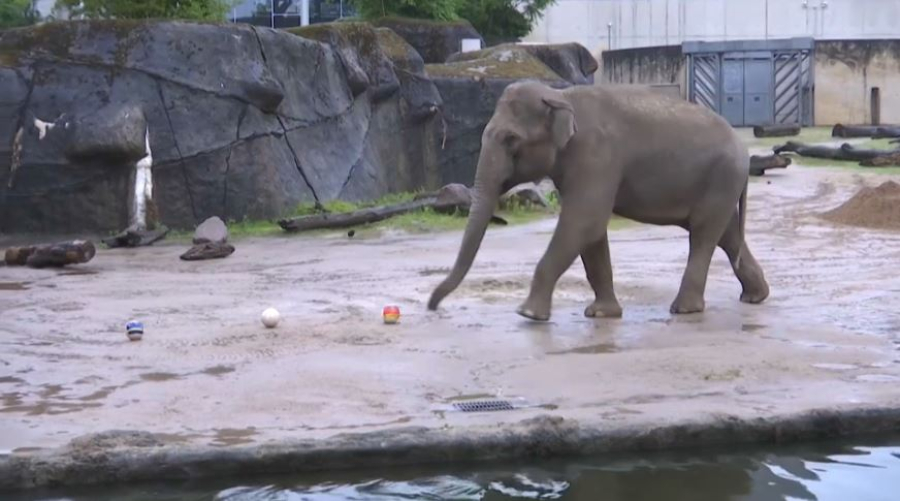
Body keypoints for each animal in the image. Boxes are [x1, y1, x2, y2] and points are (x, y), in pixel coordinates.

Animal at [427, 80, 770, 321]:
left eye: (511, 139)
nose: (433, 306)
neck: (560, 96)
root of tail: (743, 147)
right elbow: (590, 234)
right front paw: (602, 314)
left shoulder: (596, 155)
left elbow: (583, 222)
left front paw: (528, 314)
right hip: (719, 183)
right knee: (726, 234)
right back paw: (755, 297)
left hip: (721, 177)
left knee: (702, 235)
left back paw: (685, 309)